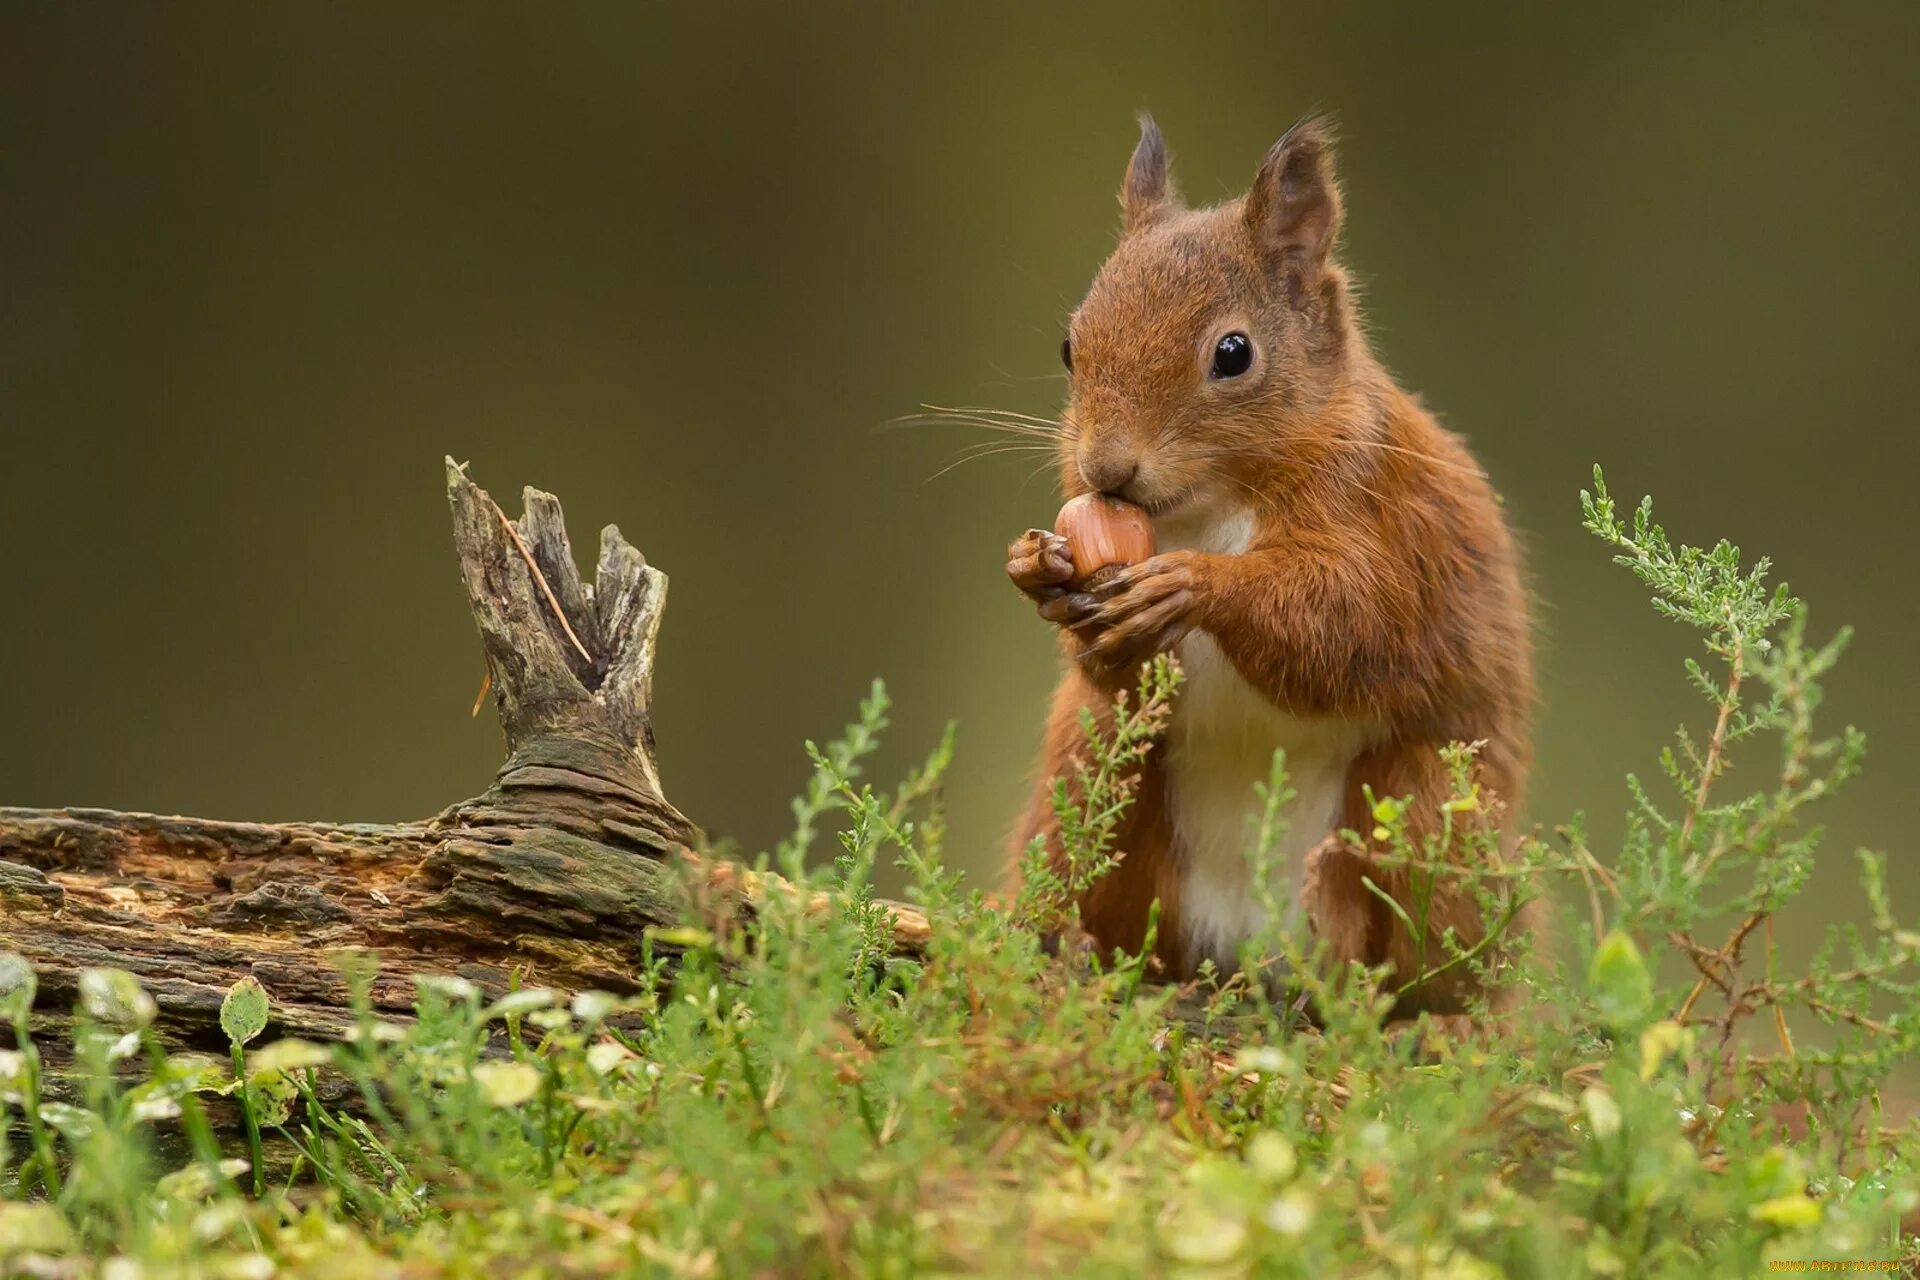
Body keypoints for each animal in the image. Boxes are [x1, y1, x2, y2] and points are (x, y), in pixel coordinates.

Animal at [1006, 115, 1528, 1013]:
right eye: (1071, 345)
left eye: (1233, 352)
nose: (1105, 470)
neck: (1208, 505)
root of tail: (1248, 949)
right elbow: (1116, 673)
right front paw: (1042, 573)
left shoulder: (1393, 529)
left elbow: (1347, 626)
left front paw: (1194, 586)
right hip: (1087, 777)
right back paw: (1076, 950)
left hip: (1429, 808)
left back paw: (1437, 1016)